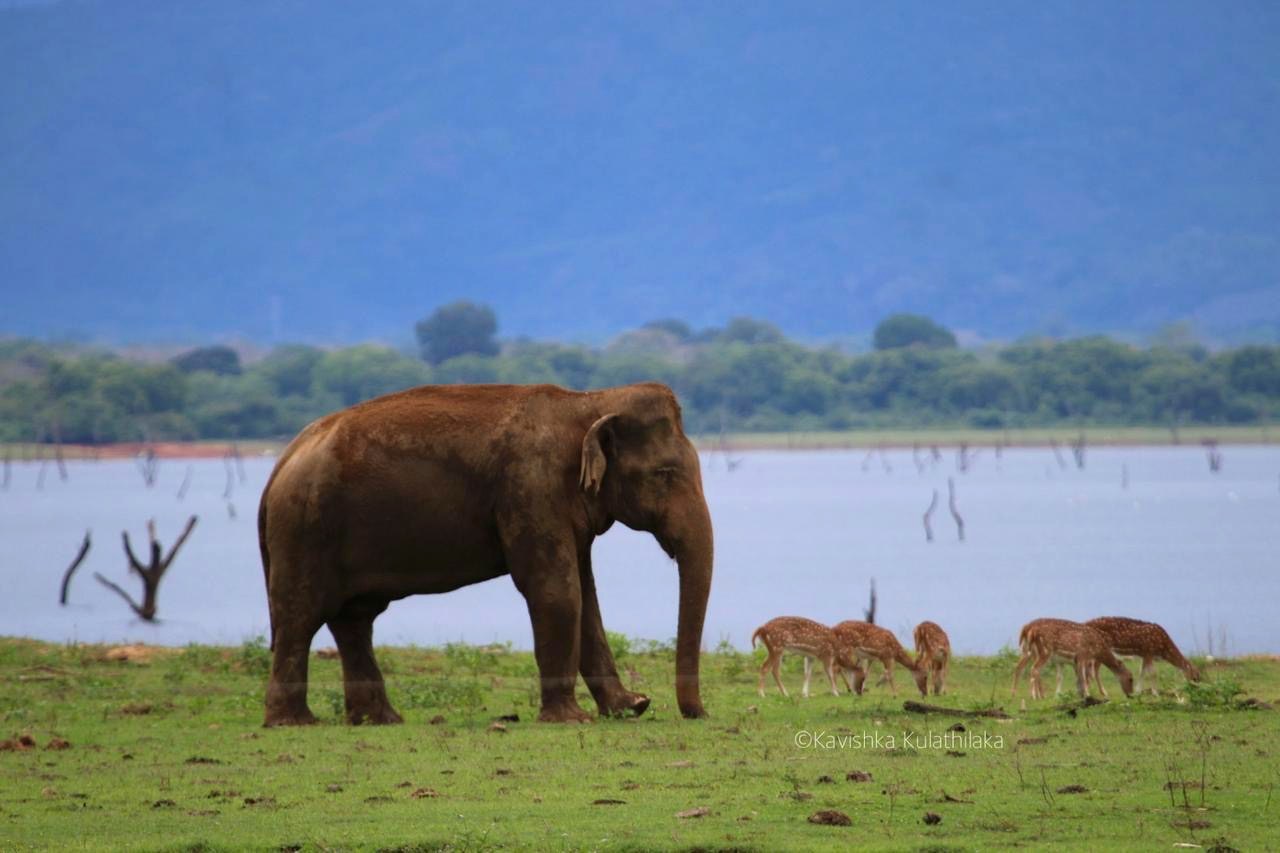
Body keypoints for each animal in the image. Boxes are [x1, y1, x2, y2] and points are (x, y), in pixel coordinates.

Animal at [257, 381, 714, 725]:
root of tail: (280, 463)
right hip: (304, 531)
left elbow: (585, 595)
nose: (699, 713)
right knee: (300, 616)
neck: (587, 402)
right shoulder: (530, 488)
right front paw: (572, 719)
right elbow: (557, 591)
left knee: (353, 620)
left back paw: (381, 720)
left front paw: (629, 708)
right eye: (664, 474)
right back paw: (296, 722)